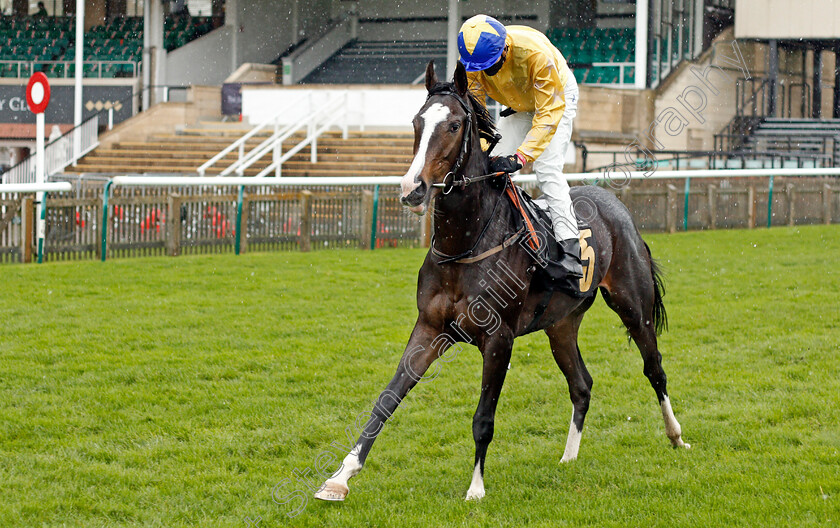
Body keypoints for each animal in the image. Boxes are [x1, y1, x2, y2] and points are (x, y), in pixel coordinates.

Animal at [316, 62, 688, 504]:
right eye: (416, 122)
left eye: (455, 124)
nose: (412, 188)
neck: (465, 244)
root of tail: (618, 207)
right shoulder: (429, 328)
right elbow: (386, 399)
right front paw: (341, 476)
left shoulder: (498, 338)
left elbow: (483, 417)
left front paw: (476, 487)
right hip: (561, 324)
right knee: (581, 384)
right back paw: (568, 457)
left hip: (633, 304)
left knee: (655, 368)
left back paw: (676, 436)